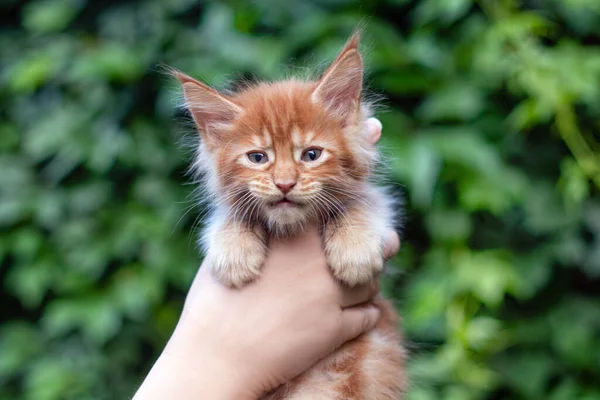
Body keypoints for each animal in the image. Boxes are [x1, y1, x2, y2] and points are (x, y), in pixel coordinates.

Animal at [173, 32, 408, 398]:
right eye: (257, 157)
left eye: (311, 155)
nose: (285, 183)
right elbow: (228, 215)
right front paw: (234, 252)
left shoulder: (372, 193)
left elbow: (363, 203)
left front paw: (354, 250)